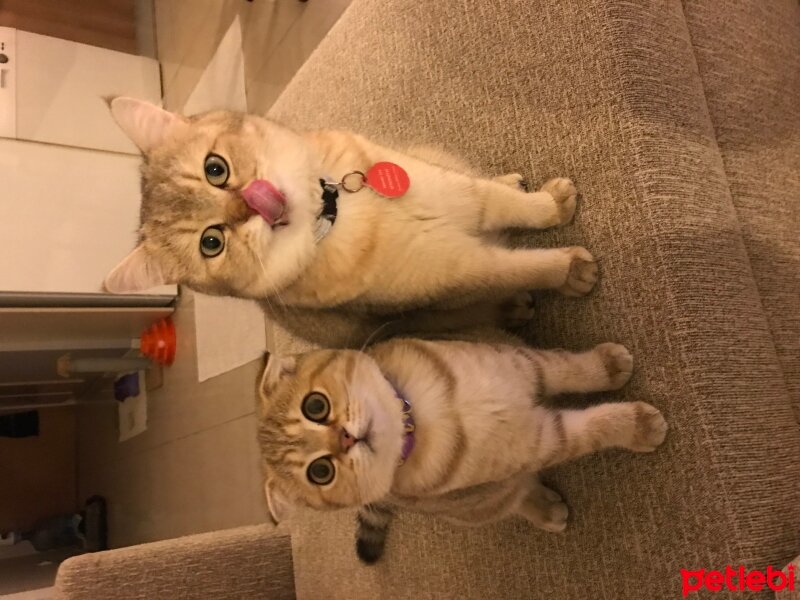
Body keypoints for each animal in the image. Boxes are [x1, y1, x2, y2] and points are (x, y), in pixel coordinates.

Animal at [103, 97, 596, 342]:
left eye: (215, 169)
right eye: (211, 242)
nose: (253, 206)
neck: (341, 213)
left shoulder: (448, 188)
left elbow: (496, 201)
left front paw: (547, 206)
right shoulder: (459, 272)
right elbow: (516, 268)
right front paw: (569, 269)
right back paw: (511, 306)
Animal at [258, 332, 668, 564]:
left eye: (315, 405)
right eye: (321, 471)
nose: (344, 439)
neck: (426, 415)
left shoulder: (526, 363)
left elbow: (568, 367)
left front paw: (607, 365)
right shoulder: (538, 442)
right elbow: (593, 429)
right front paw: (639, 426)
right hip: (478, 504)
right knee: (512, 499)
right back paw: (544, 509)